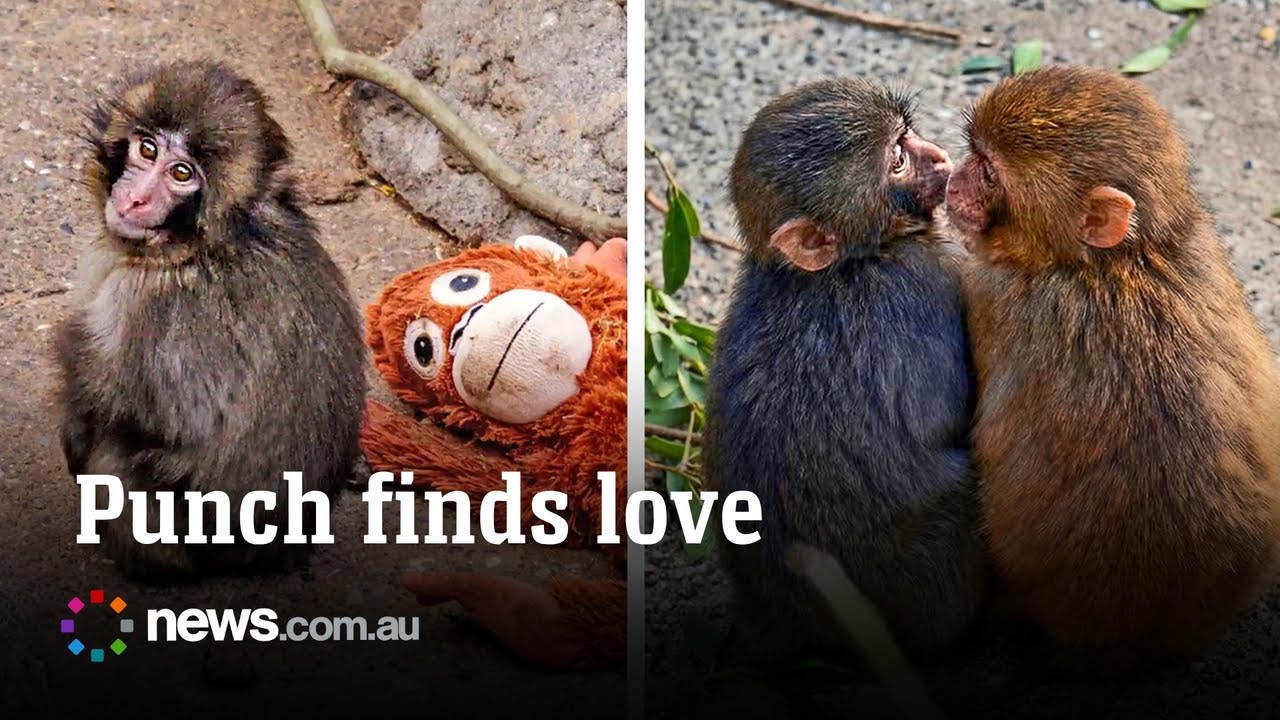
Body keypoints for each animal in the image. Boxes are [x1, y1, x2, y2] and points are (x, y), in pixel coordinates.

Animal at [55, 60, 367, 580]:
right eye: (147, 148)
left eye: (182, 173)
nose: (136, 199)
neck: (208, 244)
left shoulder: (151, 304)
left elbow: (161, 415)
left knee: (116, 453)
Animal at [704, 78, 989, 664]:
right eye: (897, 160)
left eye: (907, 135)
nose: (939, 156)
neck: (852, 259)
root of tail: (775, 615)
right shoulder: (925, 282)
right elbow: (956, 414)